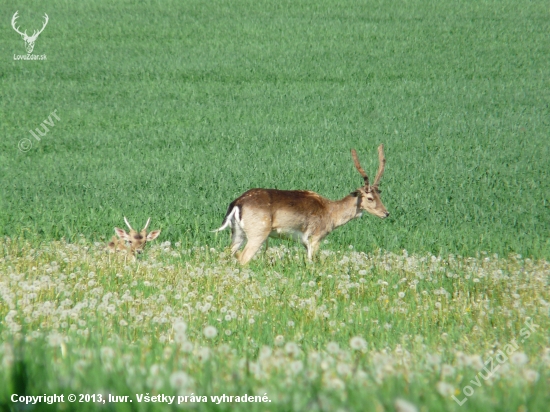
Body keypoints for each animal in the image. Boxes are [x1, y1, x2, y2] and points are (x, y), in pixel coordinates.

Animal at [213, 146, 390, 266]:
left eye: (379, 195)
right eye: (369, 198)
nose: (386, 213)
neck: (332, 214)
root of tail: (237, 203)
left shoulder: (305, 242)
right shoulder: (315, 237)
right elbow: (312, 263)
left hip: (237, 232)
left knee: (227, 254)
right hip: (258, 232)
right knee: (243, 259)